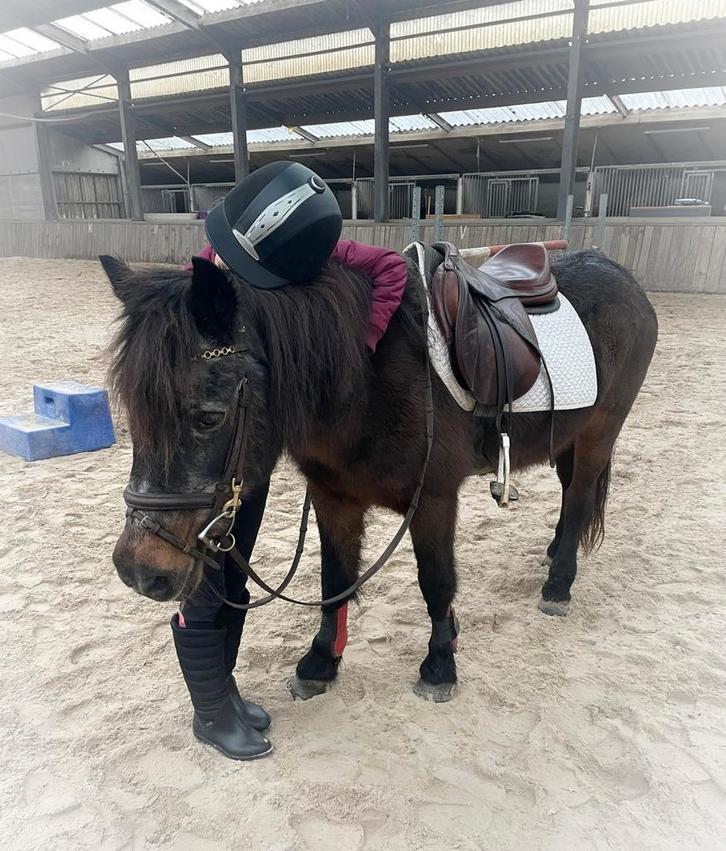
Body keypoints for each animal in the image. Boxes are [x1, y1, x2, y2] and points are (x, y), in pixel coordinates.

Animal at [103, 246, 657, 702]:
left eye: (208, 417)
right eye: (132, 413)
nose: (139, 569)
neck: (365, 381)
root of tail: (624, 278)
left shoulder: (434, 499)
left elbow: (436, 582)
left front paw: (440, 664)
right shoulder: (333, 496)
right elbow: (336, 579)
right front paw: (321, 662)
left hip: (599, 433)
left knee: (581, 497)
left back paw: (558, 583)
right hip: (568, 437)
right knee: (569, 496)